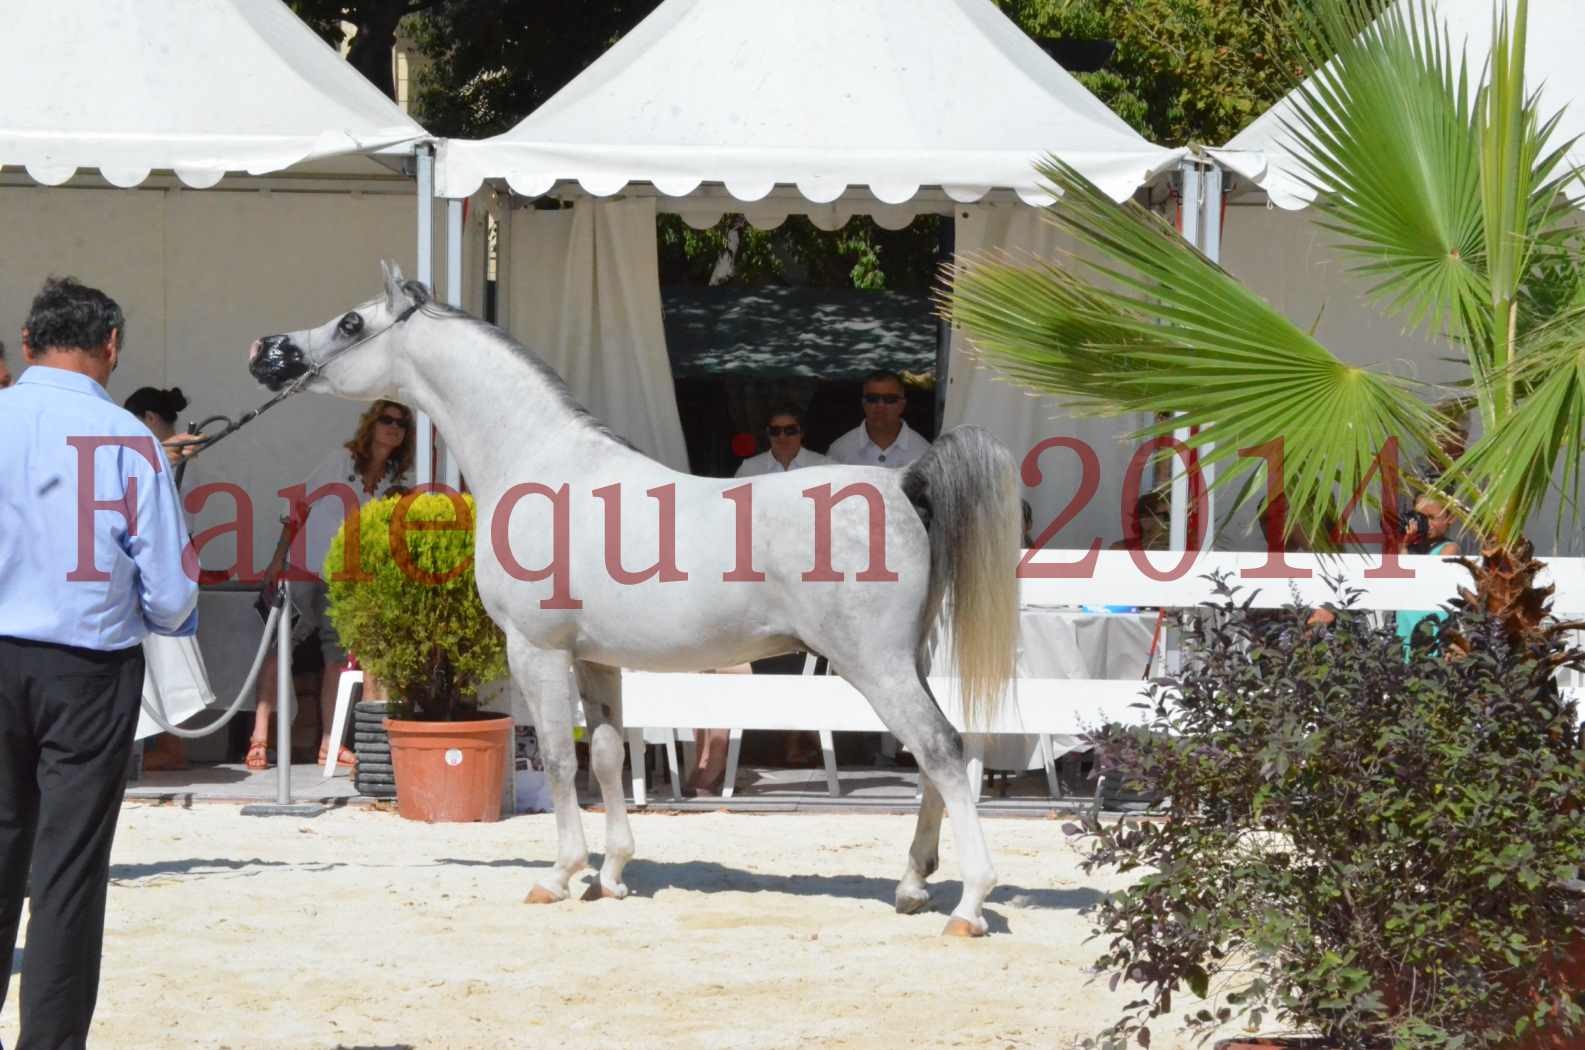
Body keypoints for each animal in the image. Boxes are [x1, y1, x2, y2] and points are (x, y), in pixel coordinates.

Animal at [247, 263, 1014, 938]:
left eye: (352, 322)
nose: (266, 350)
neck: (539, 460)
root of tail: (902, 483)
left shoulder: (537, 651)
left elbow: (561, 760)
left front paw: (560, 876)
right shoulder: (597, 660)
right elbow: (611, 756)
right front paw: (611, 874)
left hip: (873, 663)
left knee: (942, 750)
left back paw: (968, 905)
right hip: (906, 661)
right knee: (932, 755)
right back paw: (912, 886)